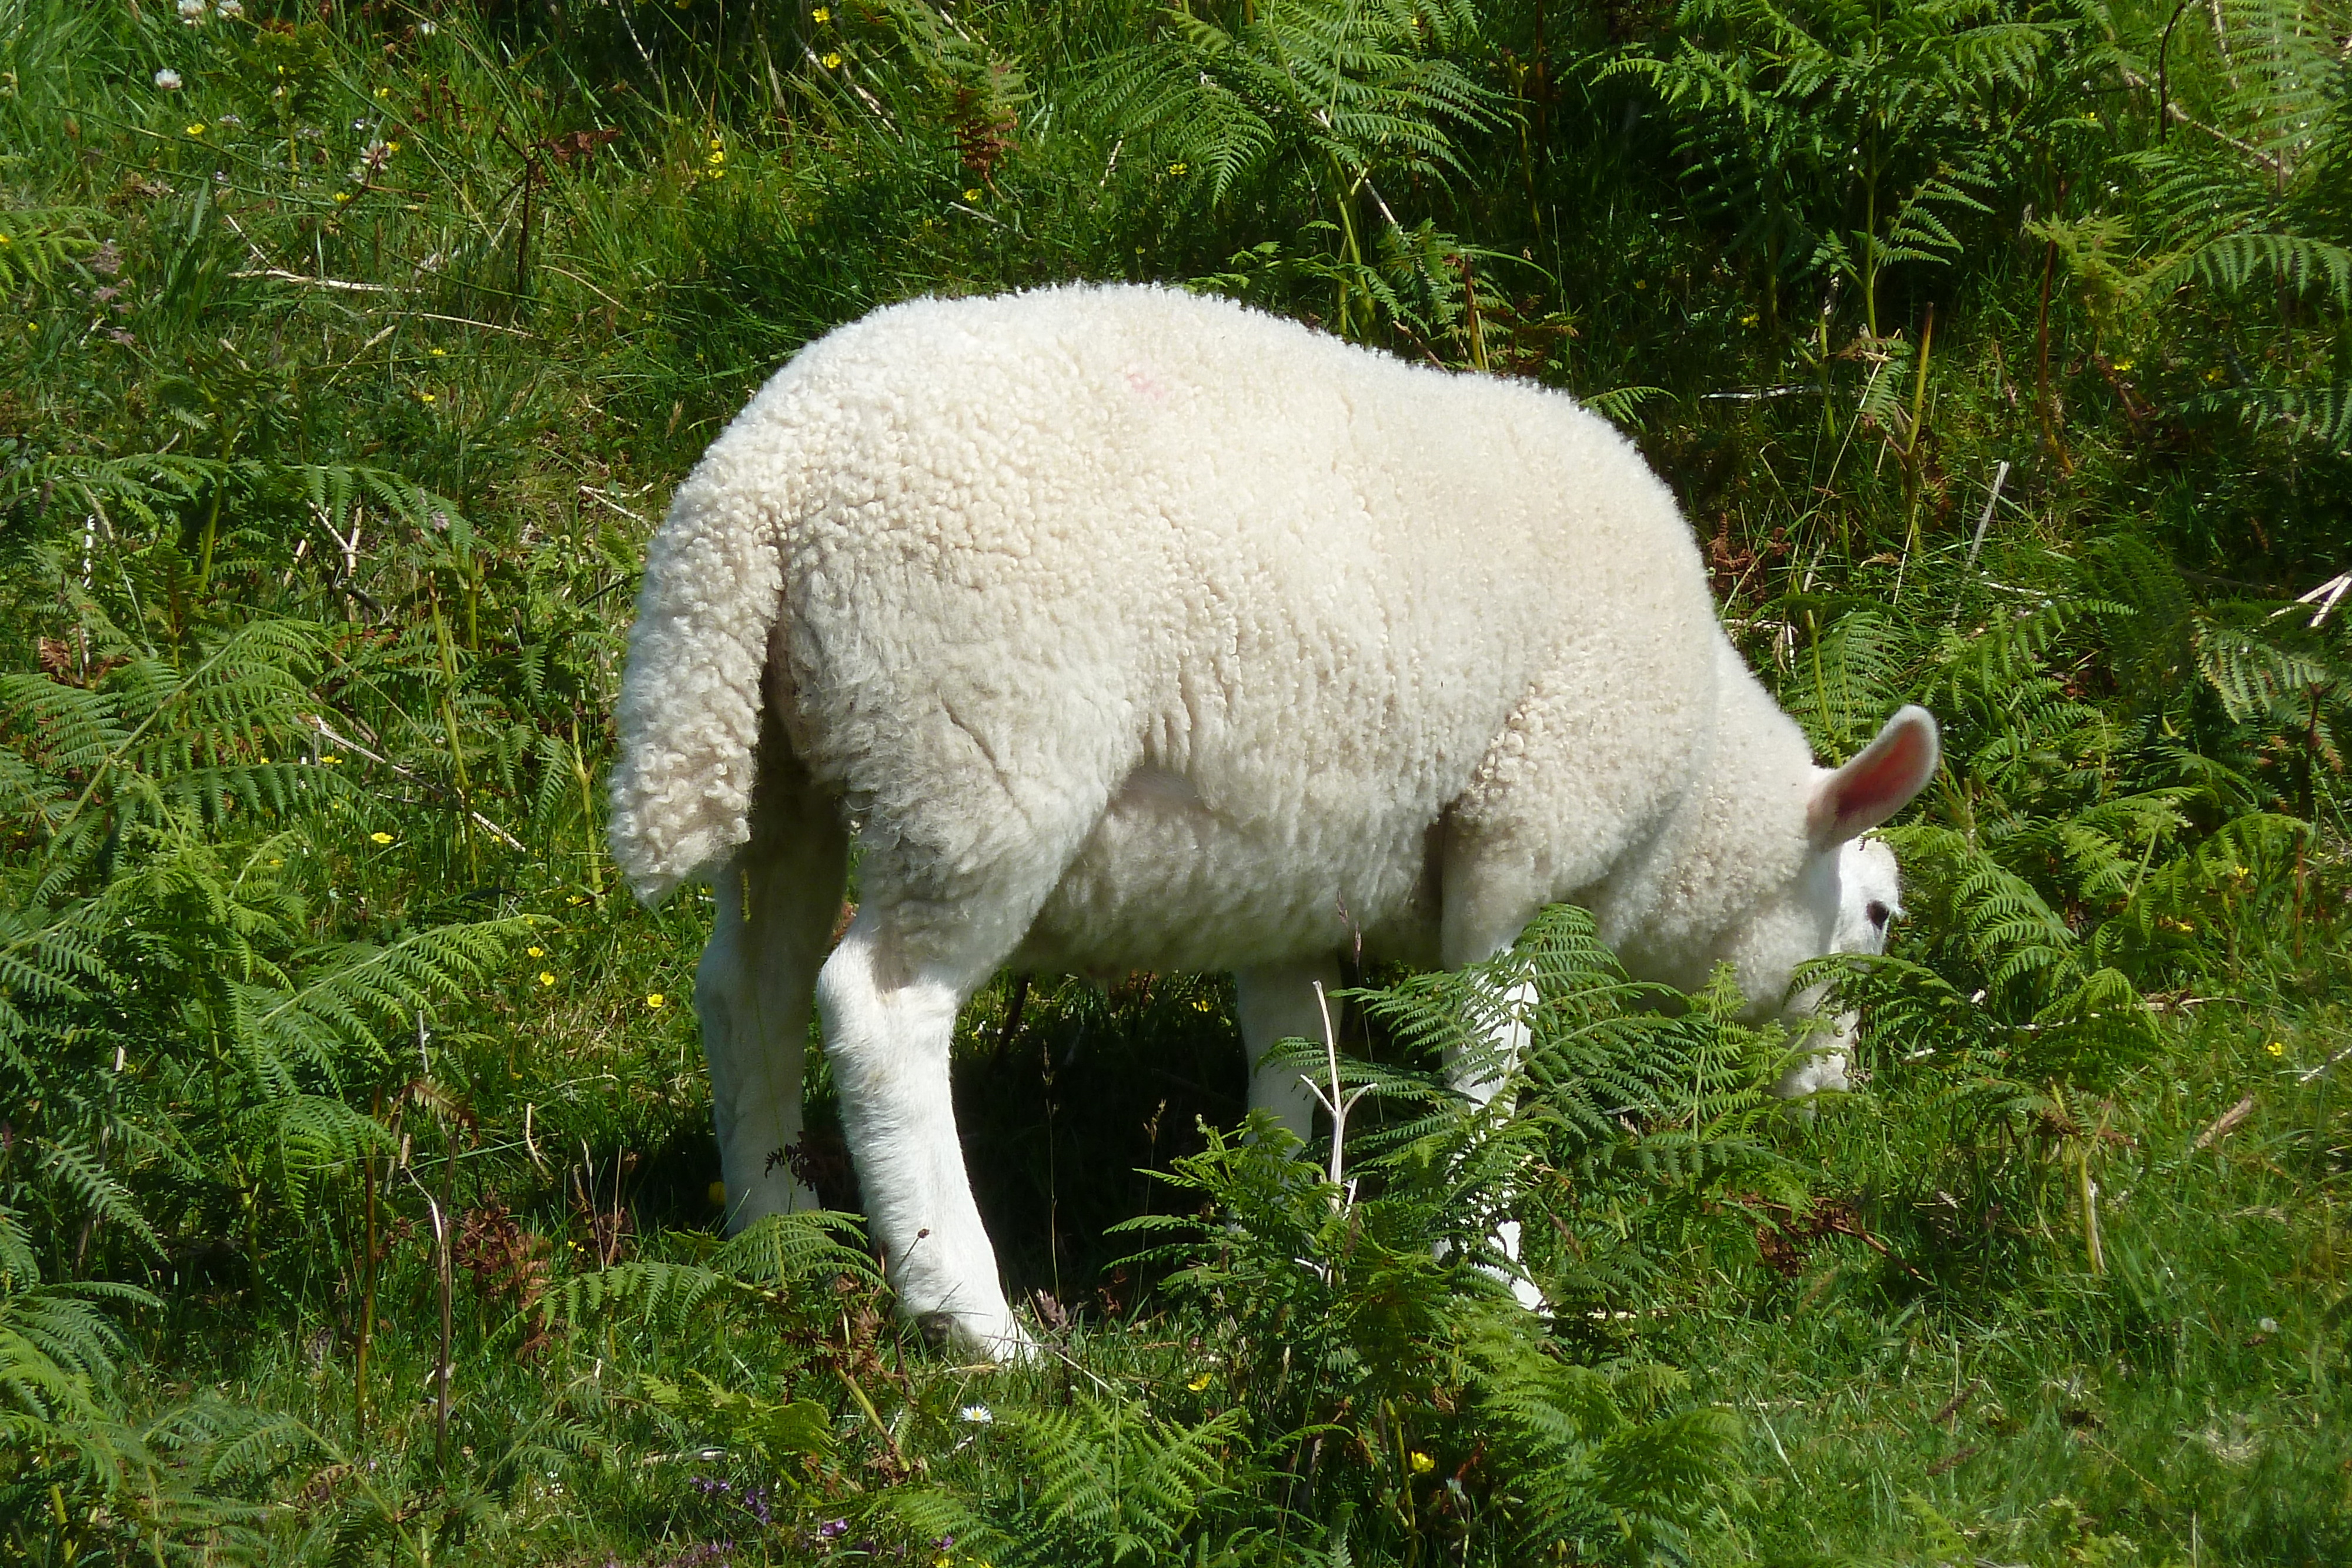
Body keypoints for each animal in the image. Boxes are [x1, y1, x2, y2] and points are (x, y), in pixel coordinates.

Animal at [602, 282, 1929, 1363]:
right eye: (1876, 914)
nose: (1839, 1108)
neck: (1691, 797)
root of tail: (762, 479)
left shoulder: (1287, 884)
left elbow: (1294, 1060)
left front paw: (1280, 1240)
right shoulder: (1519, 837)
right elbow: (1483, 1071)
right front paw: (1499, 1280)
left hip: (786, 761)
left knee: (749, 985)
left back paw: (775, 1234)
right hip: (979, 756)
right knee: (880, 1010)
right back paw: (974, 1324)